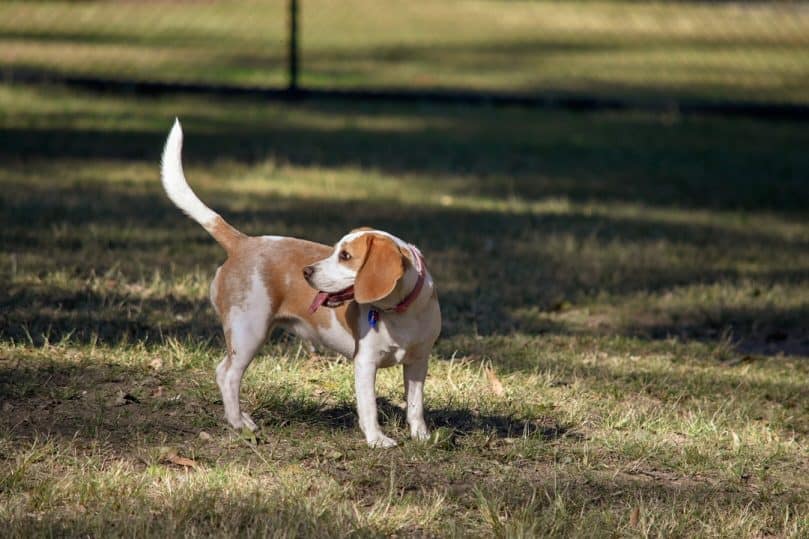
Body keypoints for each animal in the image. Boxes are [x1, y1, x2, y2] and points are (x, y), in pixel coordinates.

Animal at [157, 121, 436, 448]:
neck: (401, 313)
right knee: (227, 374)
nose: (307, 272)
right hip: (248, 332)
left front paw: (421, 436)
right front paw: (377, 439)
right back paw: (238, 423)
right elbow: (369, 407)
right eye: (336, 251)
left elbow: (415, 406)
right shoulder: (365, 363)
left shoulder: (418, 362)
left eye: (344, 255)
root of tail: (243, 243)